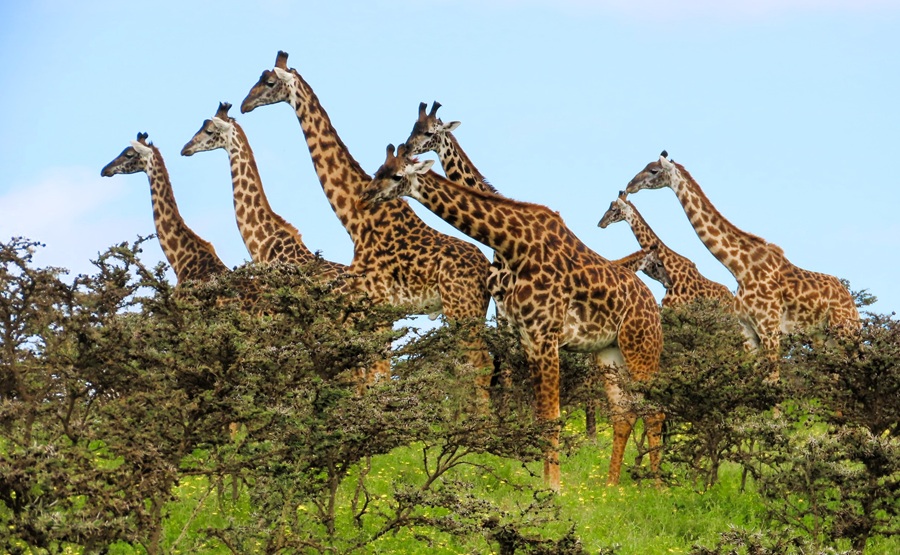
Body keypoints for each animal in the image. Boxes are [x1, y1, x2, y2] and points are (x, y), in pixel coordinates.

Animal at [240, 51, 493, 403]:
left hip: (461, 310)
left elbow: (377, 379)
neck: (355, 219)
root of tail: (487, 269)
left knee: (479, 367)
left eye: (269, 81)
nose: (244, 104)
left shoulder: (375, 307)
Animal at [363, 143, 665, 489]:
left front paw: (554, 488)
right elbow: (541, 415)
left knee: (654, 409)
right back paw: (611, 485)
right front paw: (548, 484)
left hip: (641, 347)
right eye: (378, 171)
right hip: (609, 351)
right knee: (624, 412)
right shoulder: (529, 338)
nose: (366, 195)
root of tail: (652, 305)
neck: (511, 244)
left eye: (397, 175)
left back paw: (657, 487)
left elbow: (552, 417)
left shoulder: (546, 335)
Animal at [624, 151, 860, 359]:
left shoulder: (769, 329)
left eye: (653, 170)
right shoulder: (747, 332)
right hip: (822, 337)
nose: (628, 186)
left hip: (845, 331)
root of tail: (849, 299)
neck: (739, 267)